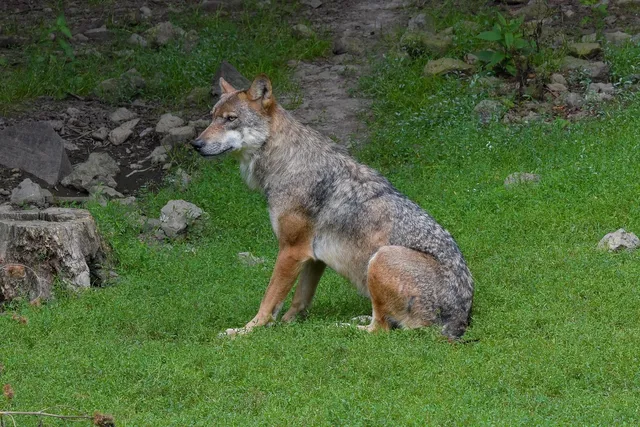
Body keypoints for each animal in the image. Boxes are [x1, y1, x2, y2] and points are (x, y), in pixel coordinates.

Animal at [191, 75, 474, 339]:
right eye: (212, 117)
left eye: (230, 119)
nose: (195, 144)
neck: (286, 162)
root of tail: (461, 320)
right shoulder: (313, 256)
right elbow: (298, 300)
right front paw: (289, 325)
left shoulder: (291, 249)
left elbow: (269, 300)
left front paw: (246, 330)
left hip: (380, 257)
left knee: (380, 329)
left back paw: (338, 327)